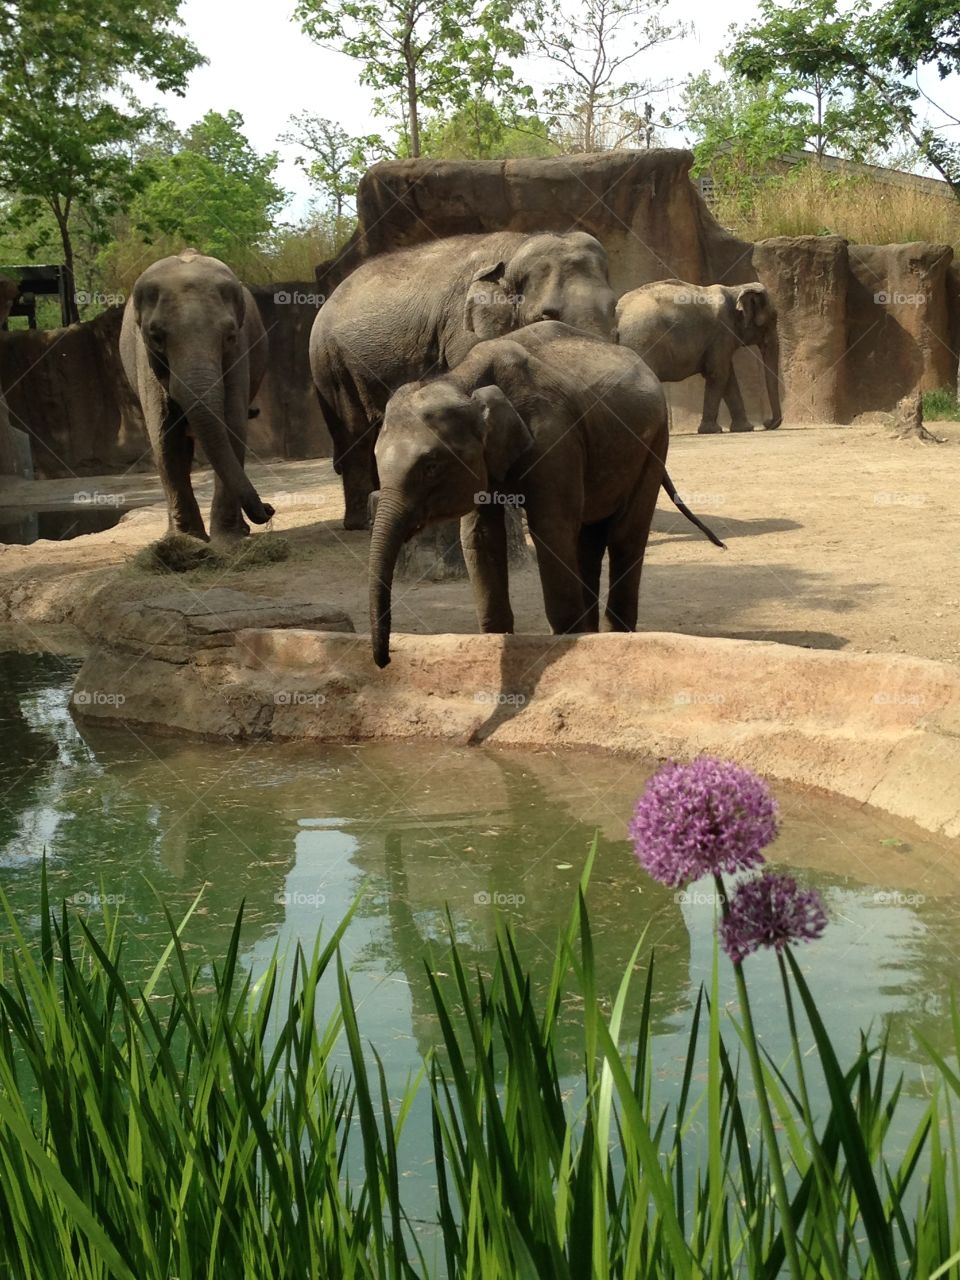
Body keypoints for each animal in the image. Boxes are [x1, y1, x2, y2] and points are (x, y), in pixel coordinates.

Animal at [119, 249, 273, 540]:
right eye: (156, 337)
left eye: (229, 336)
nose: (269, 509)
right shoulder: (146, 360)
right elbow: (165, 437)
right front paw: (188, 540)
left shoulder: (240, 352)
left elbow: (232, 423)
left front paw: (228, 539)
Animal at [312, 229, 619, 524]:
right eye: (546, 316)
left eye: (614, 307)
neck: (518, 246)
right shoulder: (461, 331)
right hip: (332, 366)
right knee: (354, 433)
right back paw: (360, 523)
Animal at [366, 320, 721, 670]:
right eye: (376, 458)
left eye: (431, 466)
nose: (384, 661)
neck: (464, 378)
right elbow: (480, 535)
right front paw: (496, 639)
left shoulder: (554, 439)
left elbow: (550, 529)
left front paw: (565, 643)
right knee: (588, 539)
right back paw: (592, 632)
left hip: (654, 443)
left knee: (625, 535)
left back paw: (615, 635)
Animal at [616, 279, 783, 435]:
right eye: (772, 319)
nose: (766, 423)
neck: (735, 289)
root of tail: (618, 316)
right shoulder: (722, 332)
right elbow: (718, 374)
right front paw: (713, 430)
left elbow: (728, 377)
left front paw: (744, 428)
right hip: (642, 341)